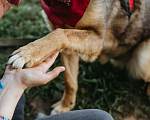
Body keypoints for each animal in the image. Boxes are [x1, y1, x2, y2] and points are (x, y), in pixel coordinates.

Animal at [7, 0, 150, 115]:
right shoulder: (69, 49)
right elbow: (70, 81)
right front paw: (66, 106)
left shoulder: (98, 39)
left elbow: (60, 33)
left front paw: (27, 53)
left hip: (142, 59)